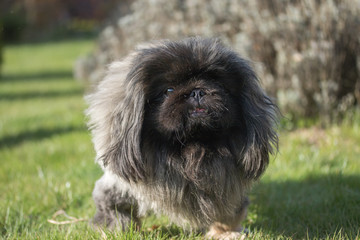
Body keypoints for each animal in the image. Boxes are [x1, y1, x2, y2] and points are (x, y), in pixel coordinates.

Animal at [85, 36, 278, 239]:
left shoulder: (227, 185)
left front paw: (226, 232)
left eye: (219, 85)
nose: (197, 91)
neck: (189, 149)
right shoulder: (120, 184)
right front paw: (112, 228)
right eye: (168, 91)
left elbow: (228, 212)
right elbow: (113, 204)